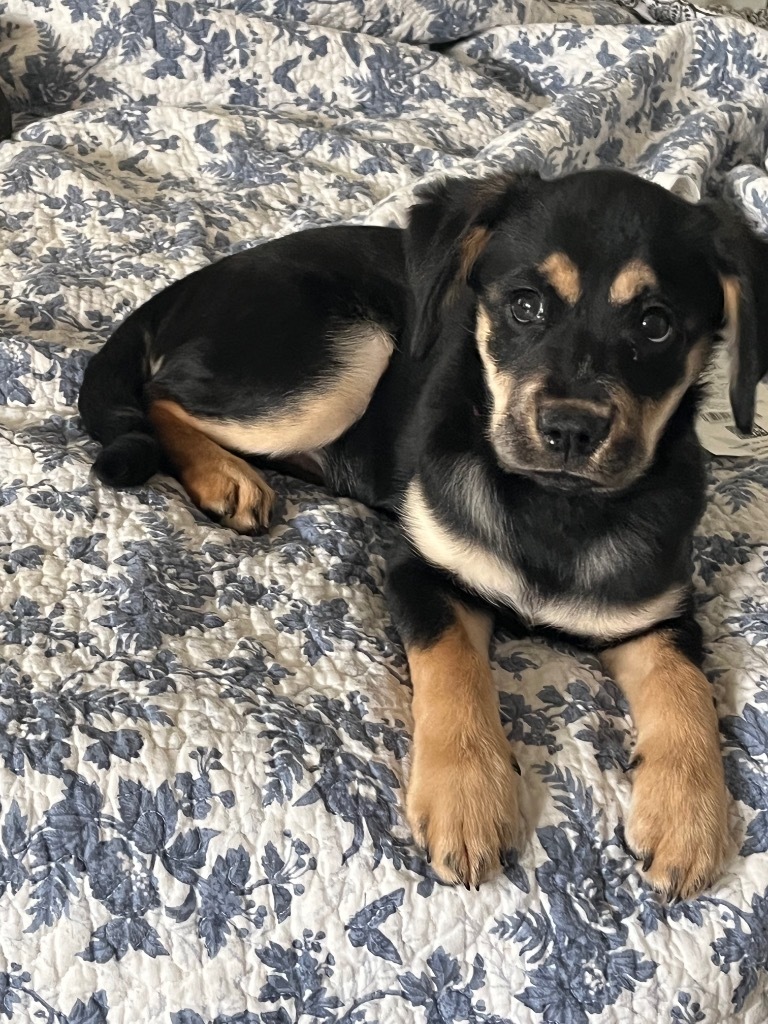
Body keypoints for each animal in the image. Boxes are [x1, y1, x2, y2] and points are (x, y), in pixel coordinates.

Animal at [79, 172, 768, 901]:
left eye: (655, 324)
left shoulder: (660, 615)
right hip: (346, 360)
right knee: (161, 398)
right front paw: (466, 798)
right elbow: (455, 667)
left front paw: (689, 819)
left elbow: (688, 692)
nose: (571, 430)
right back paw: (225, 477)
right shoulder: (424, 571)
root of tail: (192, 283)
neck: (556, 505)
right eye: (525, 305)